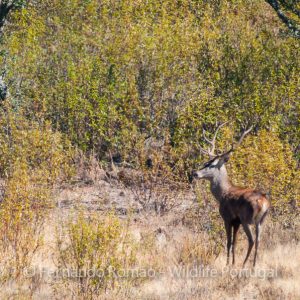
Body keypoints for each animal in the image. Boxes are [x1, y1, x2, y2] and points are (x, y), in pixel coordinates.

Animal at [193, 123, 270, 268]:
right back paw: (253, 265)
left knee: (251, 240)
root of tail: (263, 202)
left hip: (247, 218)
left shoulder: (227, 218)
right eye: (206, 162)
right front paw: (232, 263)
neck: (222, 195)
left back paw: (244, 264)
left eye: (211, 165)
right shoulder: (236, 222)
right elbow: (235, 243)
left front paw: (228, 263)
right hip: (261, 221)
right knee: (258, 240)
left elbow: (228, 242)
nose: (195, 173)